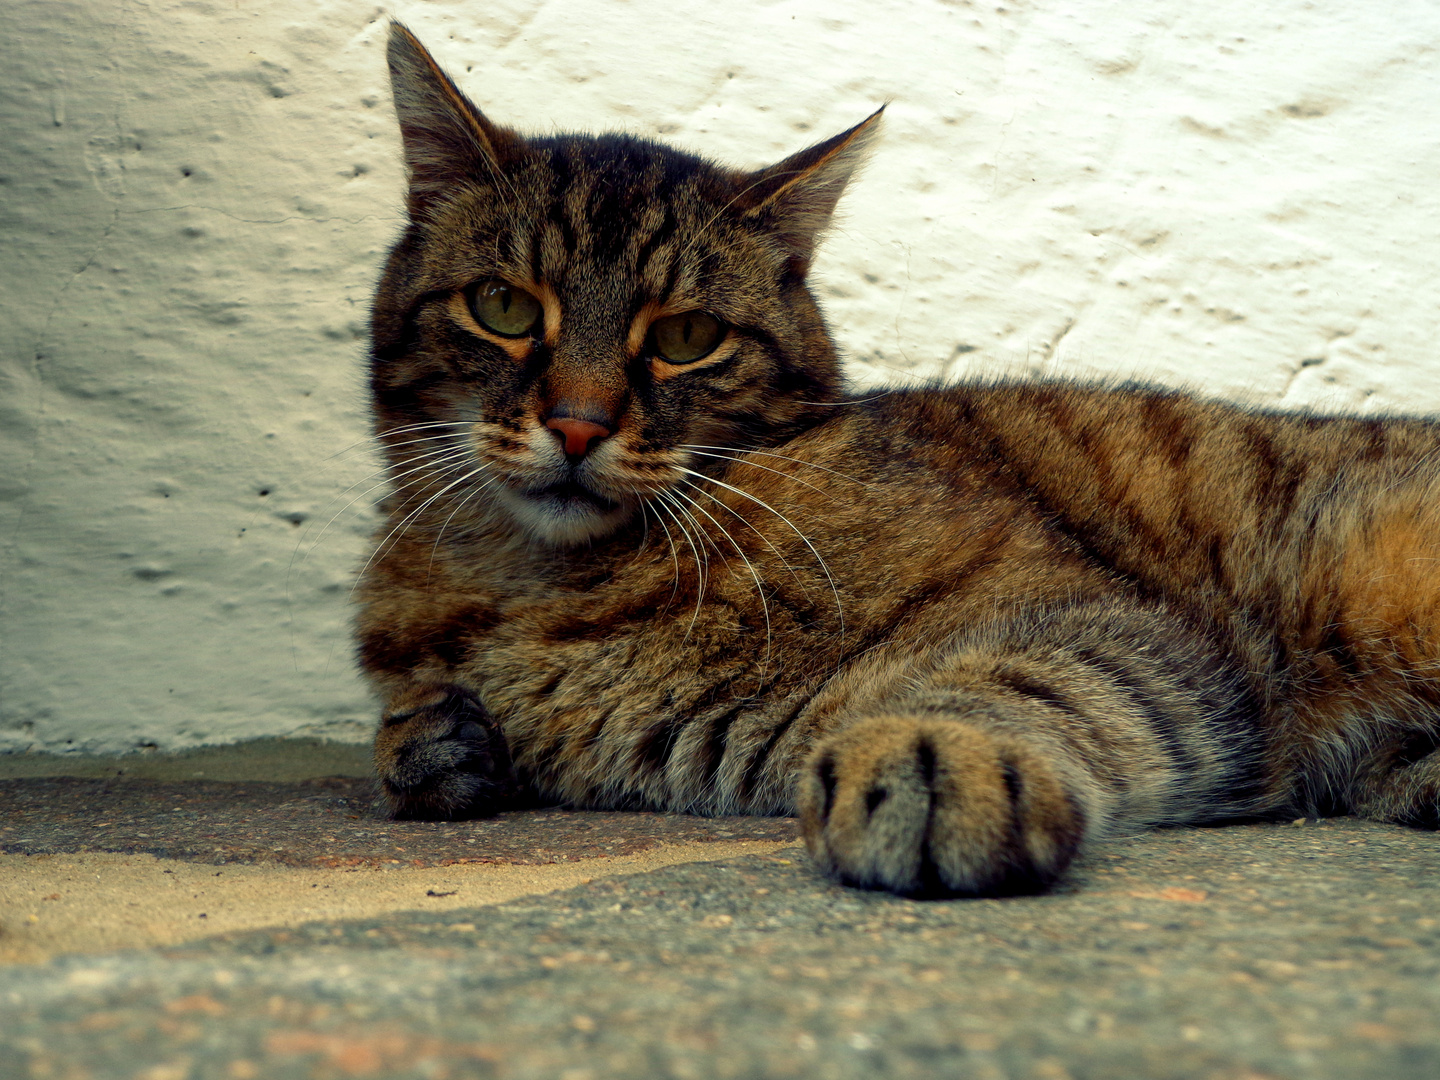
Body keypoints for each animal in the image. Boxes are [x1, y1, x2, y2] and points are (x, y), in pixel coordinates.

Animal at [357, 25, 1440, 898]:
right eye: (502, 307)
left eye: (688, 337)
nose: (578, 425)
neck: (538, 583)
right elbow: (415, 734)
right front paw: (429, 743)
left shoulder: (1101, 617)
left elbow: (1009, 684)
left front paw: (936, 759)